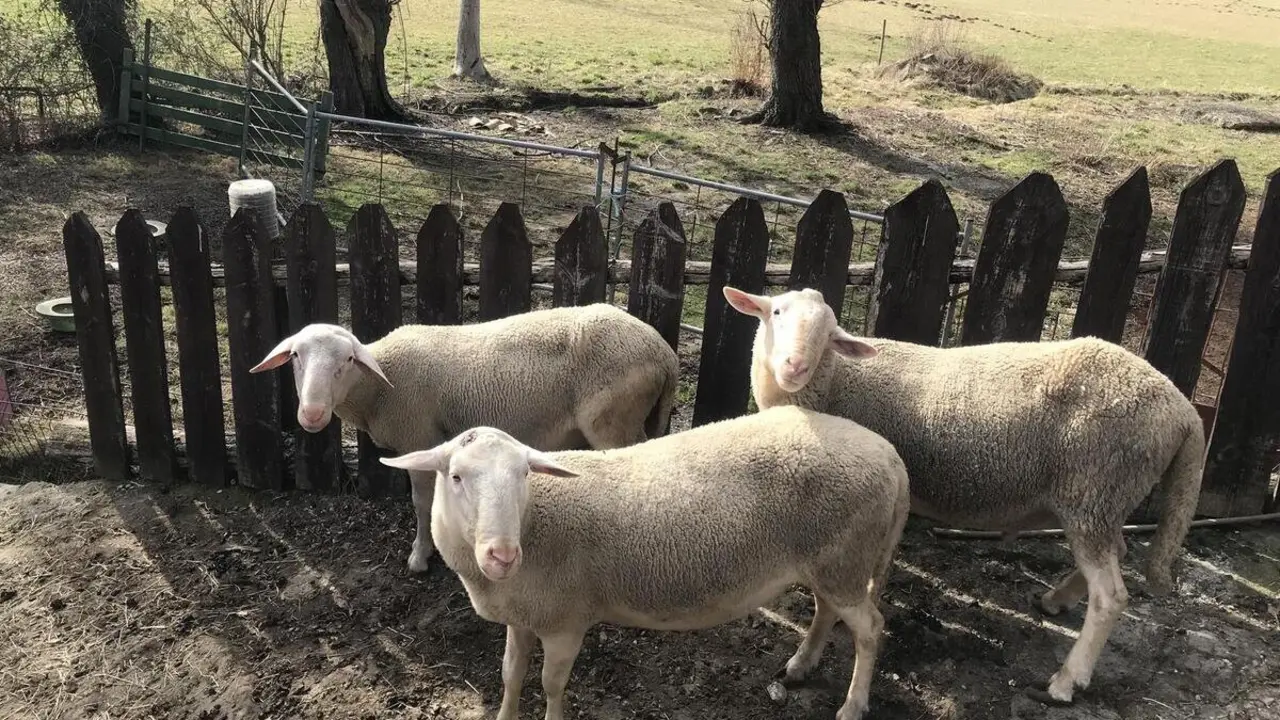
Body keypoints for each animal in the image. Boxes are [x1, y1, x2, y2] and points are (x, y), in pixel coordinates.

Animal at [249, 303, 679, 573]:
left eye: (348, 360)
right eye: (295, 357)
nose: (311, 414)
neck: (381, 386)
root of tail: (665, 352)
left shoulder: (418, 435)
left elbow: (421, 503)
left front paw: (420, 556)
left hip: (613, 421)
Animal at [380, 405, 912, 720]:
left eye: (524, 476)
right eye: (456, 477)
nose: (503, 555)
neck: (536, 523)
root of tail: (890, 456)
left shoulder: (565, 621)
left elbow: (552, 684)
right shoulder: (526, 614)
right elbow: (511, 673)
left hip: (843, 554)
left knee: (870, 629)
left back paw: (853, 705)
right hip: (833, 558)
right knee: (827, 610)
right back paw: (801, 664)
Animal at [721, 285, 1206, 704]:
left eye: (829, 334)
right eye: (776, 313)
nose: (794, 366)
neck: (835, 381)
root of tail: (1183, 408)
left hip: (1095, 487)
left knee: (1111, 597)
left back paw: (1066, 681)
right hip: (1105, 497)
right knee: (1117, 551)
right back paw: (1056, 600)